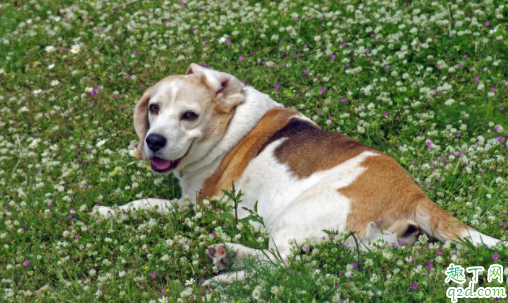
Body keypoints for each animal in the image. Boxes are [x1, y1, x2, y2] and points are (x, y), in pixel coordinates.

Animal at [94, 63, 500, 282]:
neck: (230, 124)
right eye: (154, 108)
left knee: (280, 270)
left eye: (189, 115)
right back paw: (227, 258)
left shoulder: (195, 205)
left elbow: (146, 203)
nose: (153, 141)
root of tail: (414, 195)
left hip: (297, 213)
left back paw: (221, 280)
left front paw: (107, 212)